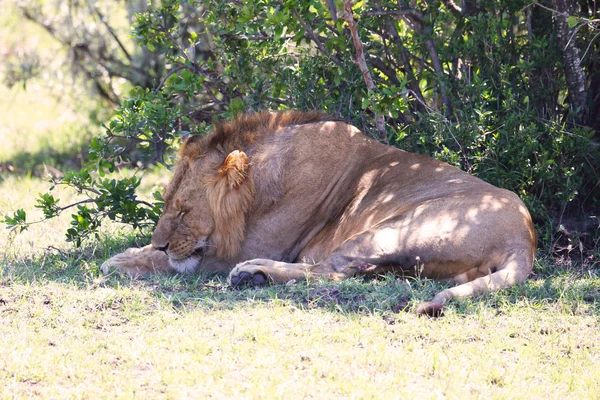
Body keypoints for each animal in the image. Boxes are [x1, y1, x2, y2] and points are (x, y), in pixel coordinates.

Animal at [101, 110, 536, 316]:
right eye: (166, 204)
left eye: (183, 210)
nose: (161, 242)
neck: (258, 185)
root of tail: (524, 239)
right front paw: (134, 252)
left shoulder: (245, 247)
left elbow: (177, 263)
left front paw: (122, 262)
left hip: (390, 229)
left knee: (332, 271)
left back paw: (252, 275)